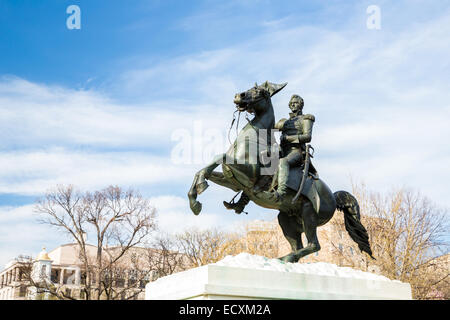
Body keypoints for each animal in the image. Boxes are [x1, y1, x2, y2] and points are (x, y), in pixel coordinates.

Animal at [186, 80, 372, 262]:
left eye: (260, 91)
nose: (239, 95)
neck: (256, 138)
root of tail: (333, 196)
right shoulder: (234, 182)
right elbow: (205, 170)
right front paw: (195, 200)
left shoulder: (248, 173)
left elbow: (221, 156)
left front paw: (197, 196)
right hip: (286, 219)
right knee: (298, 245)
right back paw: (283, 258)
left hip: (308, 214)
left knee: (314, 245)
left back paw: (286, 256)